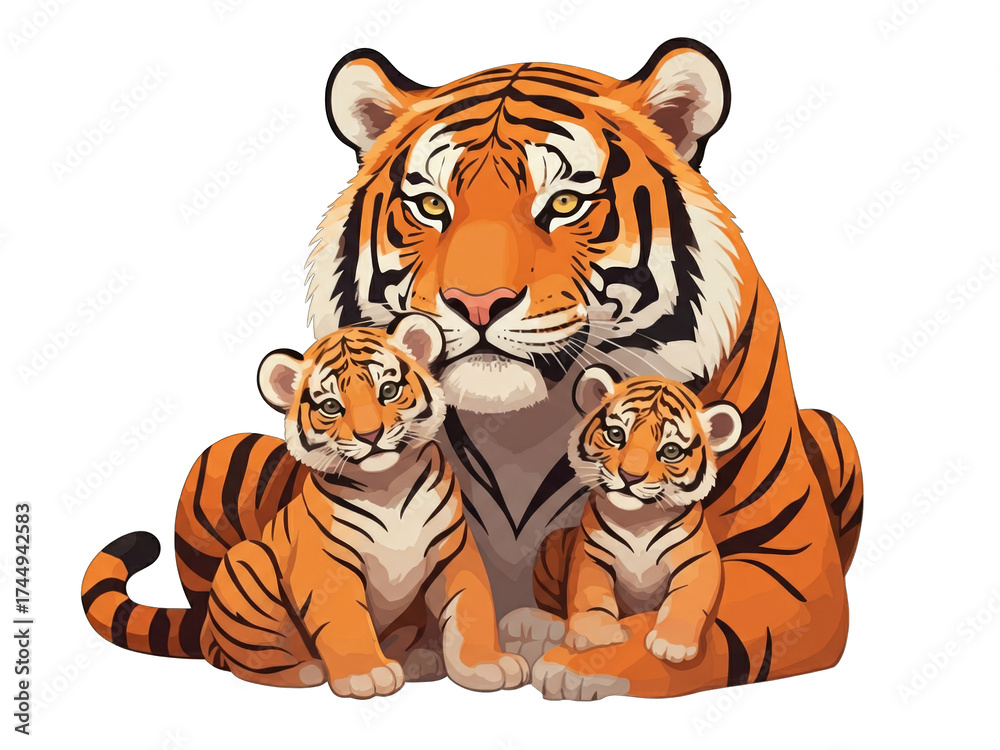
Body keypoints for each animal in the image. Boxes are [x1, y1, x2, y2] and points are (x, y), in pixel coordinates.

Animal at [81, 316, 529, 698]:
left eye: (388, 391)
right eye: (331, 406)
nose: (371, 435)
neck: (388, 485)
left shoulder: (453, 551)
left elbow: (471, 606)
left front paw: (488, 666)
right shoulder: (326, 563)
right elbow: (345, 618)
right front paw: (367, 674)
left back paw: (418, 659)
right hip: (247, 562)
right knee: (237, 659)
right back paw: (307, 670)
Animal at [506, 367, 741, 670]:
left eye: (671, 450)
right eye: (616, 434)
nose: (630, 476)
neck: (638, 521)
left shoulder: (698, 558)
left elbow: (688, 597)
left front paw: (672, 644)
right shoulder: (591, 554)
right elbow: (590, 593)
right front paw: (597, 636)